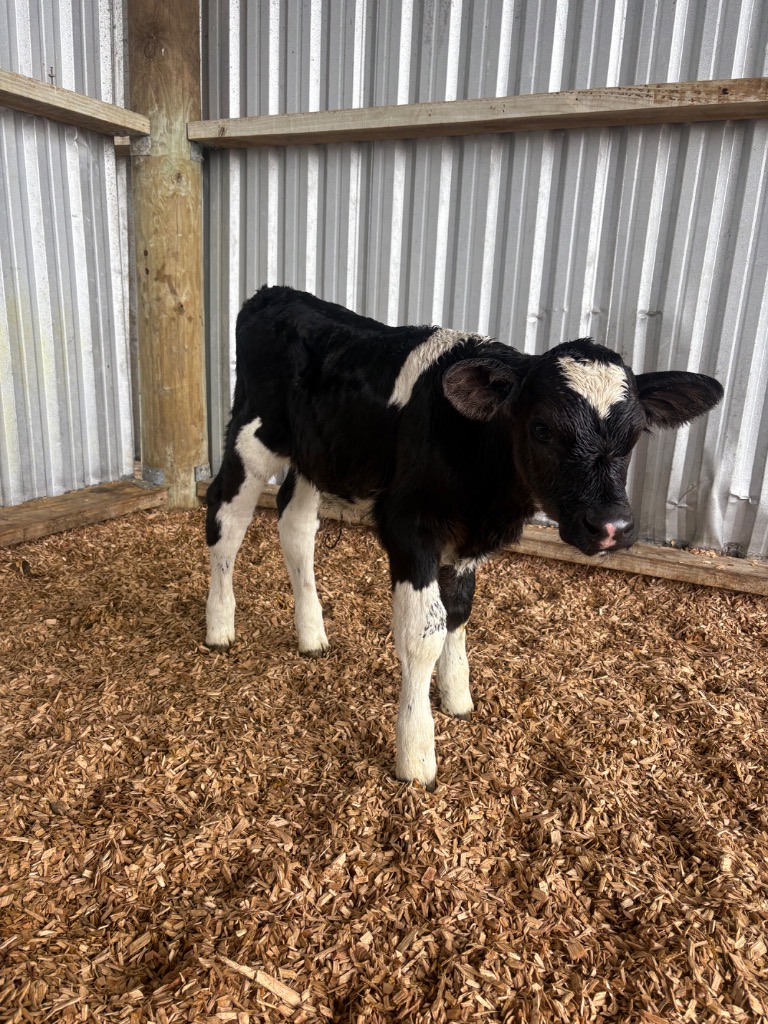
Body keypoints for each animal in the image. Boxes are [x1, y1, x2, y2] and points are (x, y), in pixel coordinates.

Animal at [205, 285, 723, 791]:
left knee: (295, 525)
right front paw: (417, 754)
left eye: (634, 436)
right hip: (252, 437)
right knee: (225, 519)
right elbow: (424, 632)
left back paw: (311, 635)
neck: (483, 483)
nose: (611, 526)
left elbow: (457, 611)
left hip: (317, 455)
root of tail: (275, 294)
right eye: (541, 428)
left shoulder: (467, 541)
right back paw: (220, 627)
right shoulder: (409, 527)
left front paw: (457, 697)